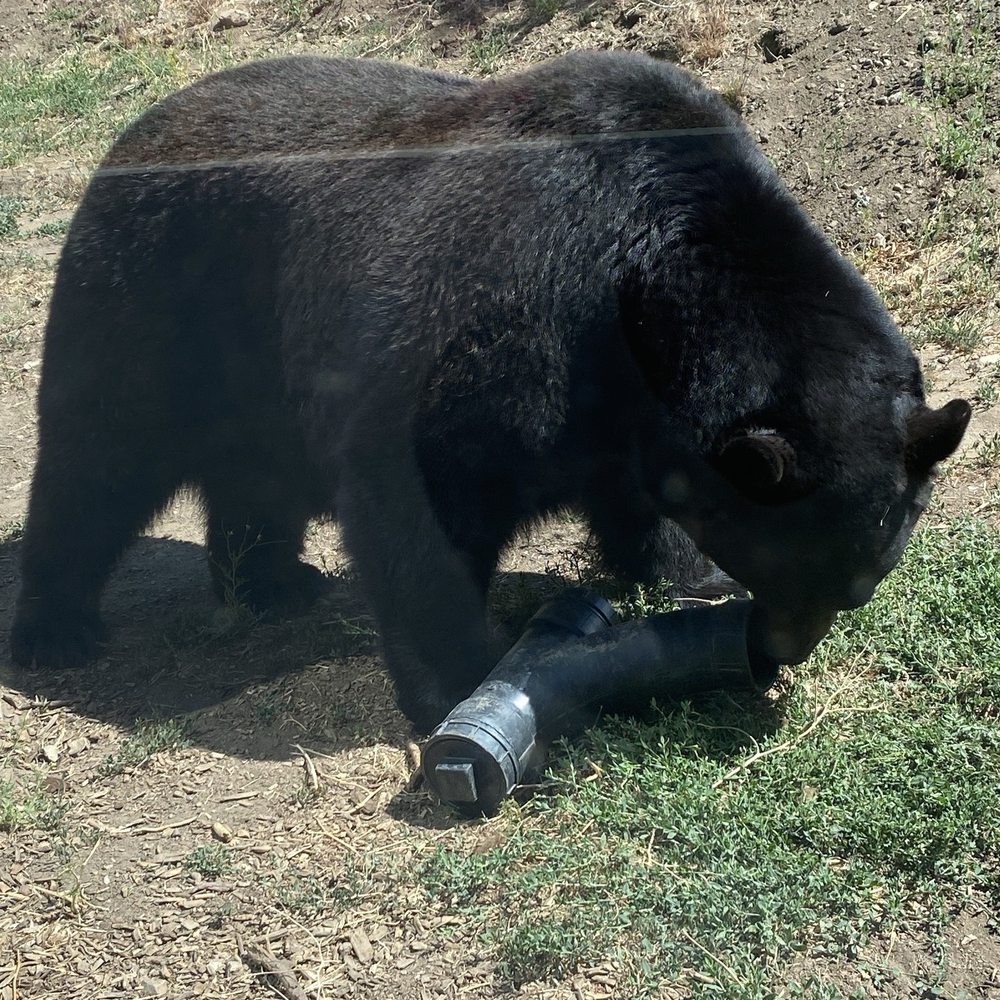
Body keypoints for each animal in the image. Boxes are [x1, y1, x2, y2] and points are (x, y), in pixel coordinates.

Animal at [10, 51, 970, 732]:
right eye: (794, 571)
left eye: (862, 584)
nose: (777, 651)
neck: (642, 286)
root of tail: (124, 139)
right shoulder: (505, 316)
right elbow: (422, 498)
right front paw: (458, 676)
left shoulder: (620, 399)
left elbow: (636, 492)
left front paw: (679, 570)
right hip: (146, 308)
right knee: (95, 463)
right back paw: (57, 629)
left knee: (250, 474)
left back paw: (272, 582)